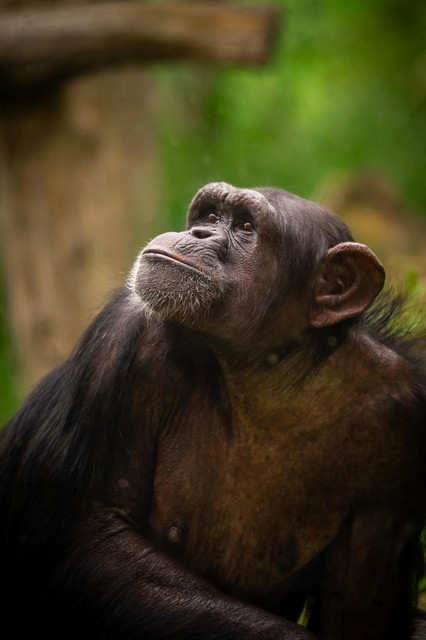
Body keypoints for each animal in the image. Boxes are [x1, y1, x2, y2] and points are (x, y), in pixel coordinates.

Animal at [0, 181, 426, 640]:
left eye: (245, 226)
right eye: (209, 216)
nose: (200, 233)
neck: (269, 373)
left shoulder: (401, 421)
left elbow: (360, 614)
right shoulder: (122, 343)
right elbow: (95, 534)